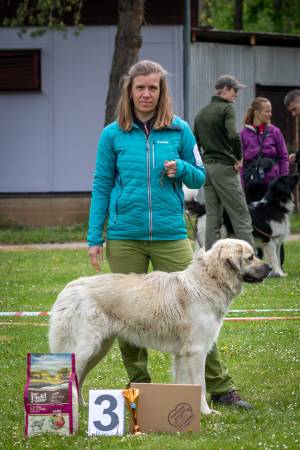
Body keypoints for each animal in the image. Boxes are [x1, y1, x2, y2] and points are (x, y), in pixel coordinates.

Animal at [48, 239, 270, 414]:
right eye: (250, 257)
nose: (269, 268)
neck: (208, 280)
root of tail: (69, 288)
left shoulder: (182, 354)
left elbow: (184, 383)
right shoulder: (196, 351)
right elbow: (200, 384)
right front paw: (206, 412)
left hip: (98, 349)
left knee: (78, 379)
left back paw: (82, 407)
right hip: (86, 348)